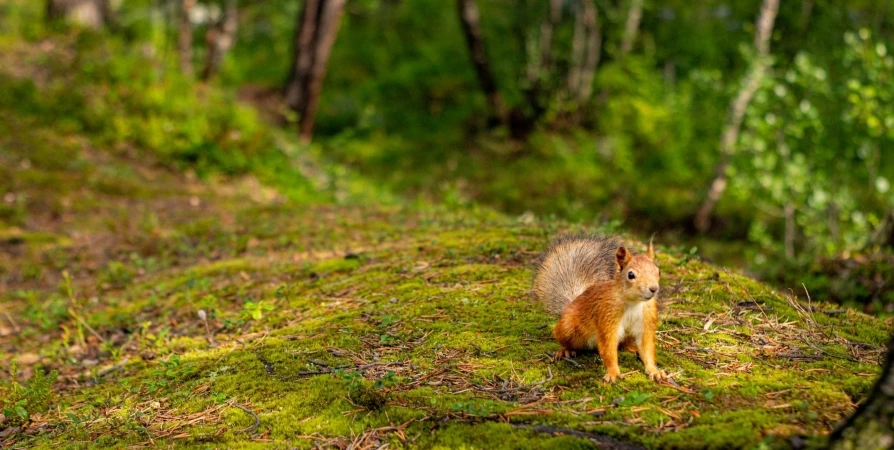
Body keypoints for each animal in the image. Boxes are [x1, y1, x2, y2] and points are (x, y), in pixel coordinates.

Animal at [532, 236, 664, 384]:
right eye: (631, 275)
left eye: (658, 271)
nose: (653, 289)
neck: (634, 302)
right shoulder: (607, 316)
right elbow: (608, 348)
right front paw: (613, 373)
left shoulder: (646, 320)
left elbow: (647, 348)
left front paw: (654, 371)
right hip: (568, 328)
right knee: (567, 341)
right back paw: (566, 350)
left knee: (625, 343)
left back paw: (632, 348)